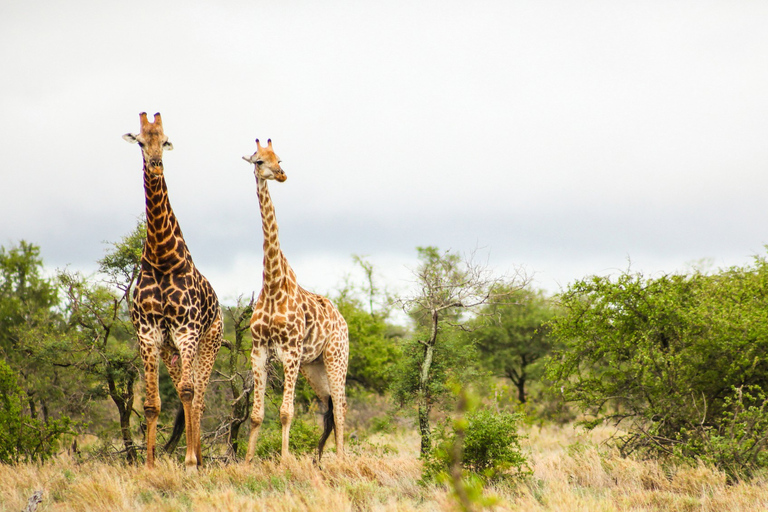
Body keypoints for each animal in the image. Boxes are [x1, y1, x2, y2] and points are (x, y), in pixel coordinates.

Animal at [123, 113, 224, 472]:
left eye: (165, 141)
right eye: (140, 142)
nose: (155, 165)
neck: (162, 258)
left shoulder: (187, 331)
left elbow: (189, 393)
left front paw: (191, 462)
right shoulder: (148, 335)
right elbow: (153, 404)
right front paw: (150, 464)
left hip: (208, 343)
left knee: (198, 396)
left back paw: (197, 458)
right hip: (171, 351)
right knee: (185, 392)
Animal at [242, 137, 350, 464]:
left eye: (279, 158)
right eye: (259, 161)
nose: (282, 175)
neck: (273, 284)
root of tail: (343, 320)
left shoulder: (290, 352)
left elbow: (286, 412)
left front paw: (283, 460)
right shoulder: (259, 351)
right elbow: (257, 414)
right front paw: (247, 462)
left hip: (336, 357)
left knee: (341, 406)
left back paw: (341, 460)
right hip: (314, 367)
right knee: (331, 407)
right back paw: (324, 458)